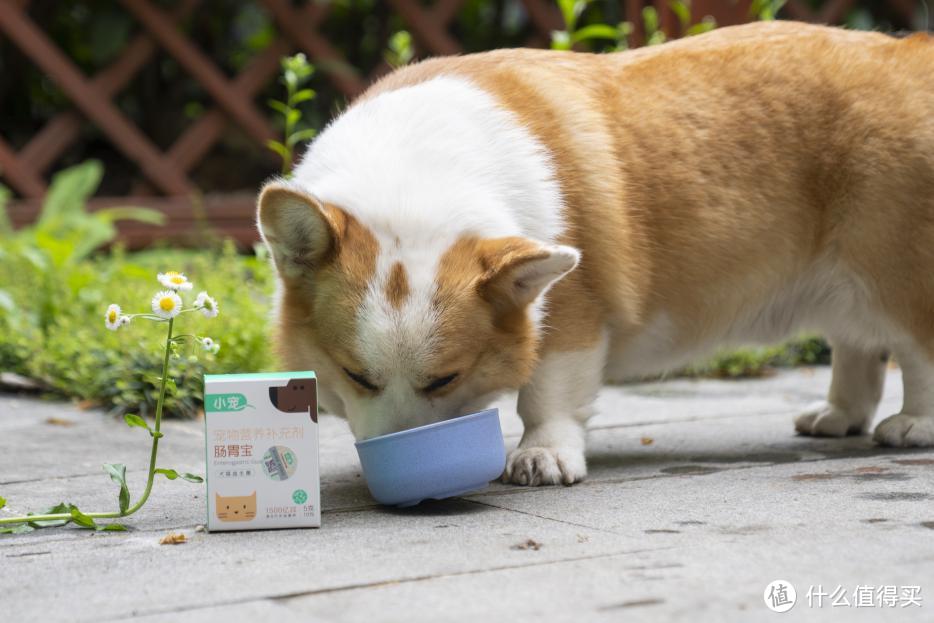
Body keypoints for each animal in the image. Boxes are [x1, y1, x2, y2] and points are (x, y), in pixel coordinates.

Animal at [256, 20, 934, 488]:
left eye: (445, 378)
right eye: (357, 376)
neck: (415, 178)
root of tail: (913, 55)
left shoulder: (572, 314)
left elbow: (546, 395)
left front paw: (542, 457)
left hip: (895, 271)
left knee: (915, 350)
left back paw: (912, 427)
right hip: (842, 282)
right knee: (858, 345)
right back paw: (838, 416)